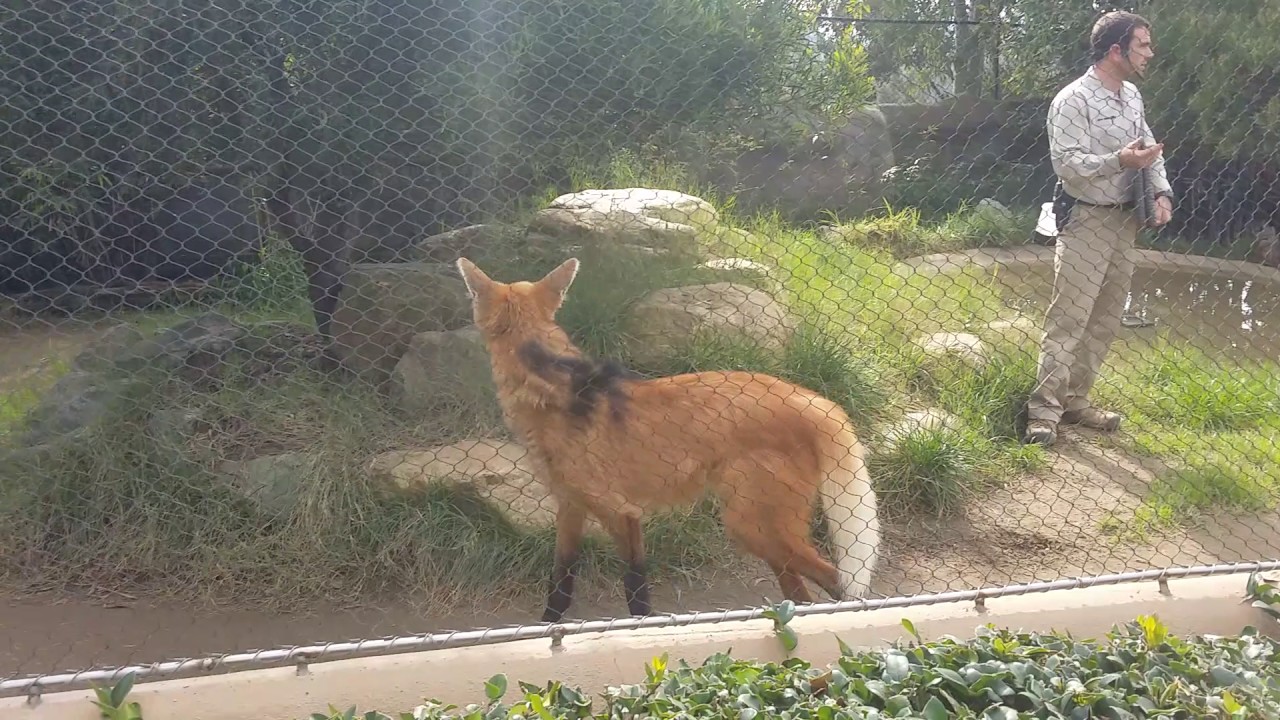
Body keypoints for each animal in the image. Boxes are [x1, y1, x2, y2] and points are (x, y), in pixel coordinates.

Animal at [454, 256, 880, 623]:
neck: (550, 386)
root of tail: (811, 398)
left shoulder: (621, 511)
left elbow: (636, 592)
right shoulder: (571, 506)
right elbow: (559, 588)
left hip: (749, 523)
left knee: (839, 580)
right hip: (759, 530)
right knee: (802, 593)